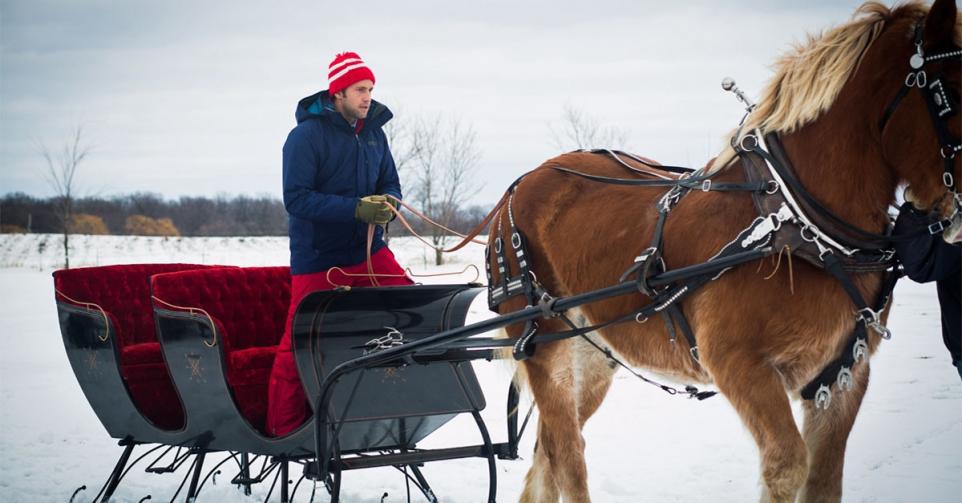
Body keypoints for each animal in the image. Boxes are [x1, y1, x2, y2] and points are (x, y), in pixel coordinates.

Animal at [488, 1, 960, 502]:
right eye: (950, 92)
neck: (794, 223)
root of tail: (517, 189)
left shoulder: (844, 376)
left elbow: (822, 480)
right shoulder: (742, 366)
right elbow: (788, 466)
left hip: (592, 356)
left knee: (548, 451)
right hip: (546, 348)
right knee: (567, 452)